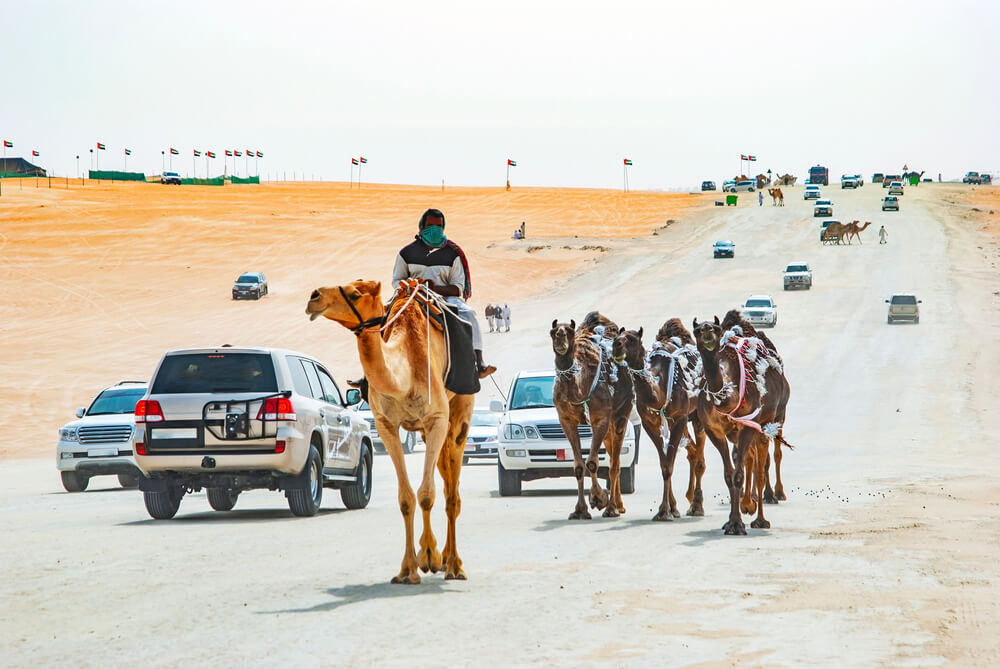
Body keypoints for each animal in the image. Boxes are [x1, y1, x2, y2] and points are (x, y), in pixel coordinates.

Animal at [306, 280, 474, 580]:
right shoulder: (386, 425)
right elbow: (406, 498)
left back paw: (454, 565)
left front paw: (428, 557)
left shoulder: (436, 419)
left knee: (452, 492)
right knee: (445, 478)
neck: (404, 374)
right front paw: (409, 569)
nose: (314, 296)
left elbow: (427, 494)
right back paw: (445, 559)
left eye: (355, 294)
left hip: (460, 412)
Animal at [548, 310, 632, 520]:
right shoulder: (566, 420)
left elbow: (593, 463)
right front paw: (580, 510)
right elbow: (578, 466)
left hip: (621, 413)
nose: (560, 337)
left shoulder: (600, 418)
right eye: (552, 332)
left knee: (615, 463)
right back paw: (619, 505)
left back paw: (614, 508)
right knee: (614, 457)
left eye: (569, 332)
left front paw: (599, 499)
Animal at [608, 320, 712, 520]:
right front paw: (668, 509)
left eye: (631, 339)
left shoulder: (680, 418)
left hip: (696, 414)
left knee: (700, 457)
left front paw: (666, 511)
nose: (616, 345)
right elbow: (664, 464)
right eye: (617, 336)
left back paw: (697, 506)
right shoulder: (650, 423)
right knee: (693, 452)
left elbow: (669, 464)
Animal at [692, 316, 792, 536]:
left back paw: (763, 514)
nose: (707, 331)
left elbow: (740, 474)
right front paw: (732, 521)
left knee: (766, 462)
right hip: (740, 433)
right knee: (750, 460)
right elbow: (730, 475)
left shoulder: (748, 426)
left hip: (773, 420)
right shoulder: (715, 431)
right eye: (696, 331)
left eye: (716, 329)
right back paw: (749, 505)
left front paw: (738, 524)